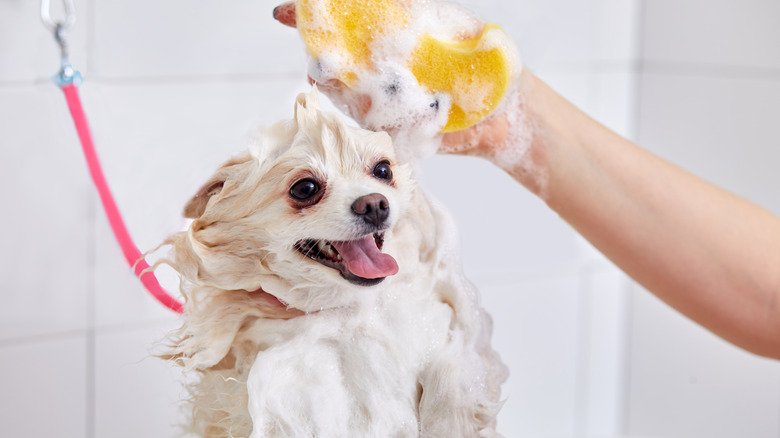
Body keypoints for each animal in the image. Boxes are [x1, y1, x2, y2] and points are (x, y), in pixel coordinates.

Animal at [161, 90, 508, 438]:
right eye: (305, 188)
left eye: (383, 170)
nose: (375, 204)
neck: (354, 307)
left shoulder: (445, 325)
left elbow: (453, 370)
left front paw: (448, 418)